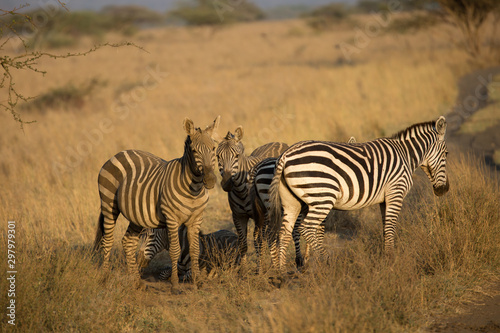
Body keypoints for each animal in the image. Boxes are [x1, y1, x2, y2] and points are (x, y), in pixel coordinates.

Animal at [92, 115, 221, 292]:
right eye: (194, 151)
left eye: (214, 148)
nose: (210, 181)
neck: (194, 188)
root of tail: (119, 153)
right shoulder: (172, 219)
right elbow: (175, 250)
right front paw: (175, 285)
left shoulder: (196, 218)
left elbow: (194, 250)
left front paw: (198, 282)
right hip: (108, 203)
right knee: (108, 239)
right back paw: (105, 277)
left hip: (136, 214)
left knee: (128, 242)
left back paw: (137, 282)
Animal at [216, 126, 290, 268]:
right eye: (218, 156)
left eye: (237, 156)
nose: (227, 183)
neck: (241, 190)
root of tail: (278, 142)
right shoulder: (238, 215)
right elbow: (243, 243)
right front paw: (243, 269)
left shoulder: (261, 215)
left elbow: (259, 241)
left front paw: (261, 267)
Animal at [270, 115, 450, 272]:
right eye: (446, 154)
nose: (444, 190)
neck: (406, 155)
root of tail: (285, 155)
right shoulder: (395, 192)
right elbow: (391, 226)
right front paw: (390, 260)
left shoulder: (384, 200)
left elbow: (385, 227)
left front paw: (385, 256)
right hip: (322, 196)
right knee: (307, 227)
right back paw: (327, 261)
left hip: (292, 201)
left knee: (285, 231)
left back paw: (282, 270)